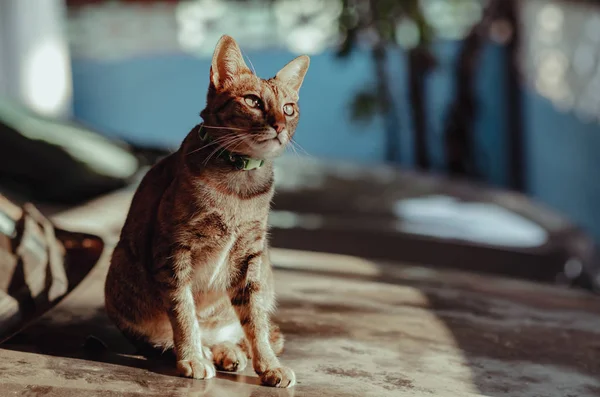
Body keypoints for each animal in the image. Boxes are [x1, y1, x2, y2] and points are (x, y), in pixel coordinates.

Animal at [104, 34, 310, 386]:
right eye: (253, 101)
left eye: (289, 108)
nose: (280, 125)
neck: (239, 186)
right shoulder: (174, 250)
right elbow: (184, 312)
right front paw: (191, 356)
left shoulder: (250, 255)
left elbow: (256, 321)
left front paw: (269, 365)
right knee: (169, 337)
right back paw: (204, 351)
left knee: (234, 333)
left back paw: (228, 351)